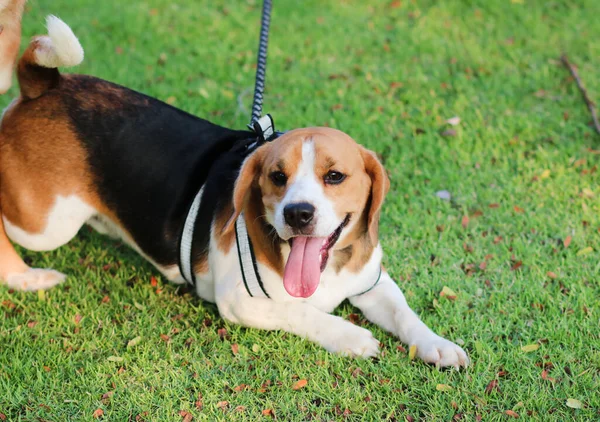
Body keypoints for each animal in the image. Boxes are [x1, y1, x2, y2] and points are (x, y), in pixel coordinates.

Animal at [0, 14, 468, 368]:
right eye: (277, 176)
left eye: (334, 176)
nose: (298, 214)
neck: (327, 269)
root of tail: (46, 84)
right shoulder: (242, 302)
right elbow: (302, 312)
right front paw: (351, 337)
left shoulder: (373, 282)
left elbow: (406, 314)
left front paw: (437, 345)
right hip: (45, 226)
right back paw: (27, 277)